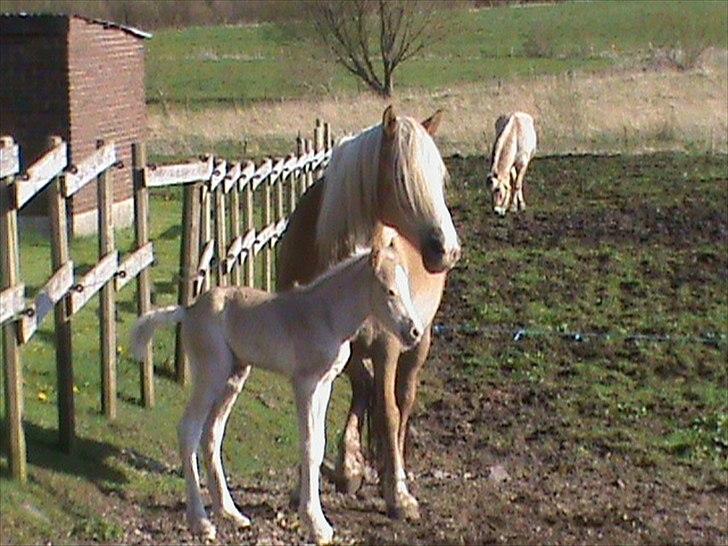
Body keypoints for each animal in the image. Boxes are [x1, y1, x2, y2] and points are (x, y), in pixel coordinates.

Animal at [133, 231, 424, 544]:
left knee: (212, 433)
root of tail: (187, 311)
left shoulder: (325, 384)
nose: (414, 332)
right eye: (388, 290)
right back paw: (201, 521)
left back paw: (231, 513)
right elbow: (309, 445)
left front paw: (316, 520)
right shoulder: (305, 383)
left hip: (234, 377)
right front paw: (316, 524)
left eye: (406, 287)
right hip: (211, 374)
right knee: (189, 429)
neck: (327, 316)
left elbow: (319, 444)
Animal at [278, 105, 460, 520]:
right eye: (402, 178)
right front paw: (328, 477)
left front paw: (398, 494)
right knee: (364, 388)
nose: (447, 249)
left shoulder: (388, 346)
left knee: (403, 399)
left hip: (418, 342)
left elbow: (388, 410)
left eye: (439, 178)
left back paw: (395, 468)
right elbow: (327, 410)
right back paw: (352, 467)